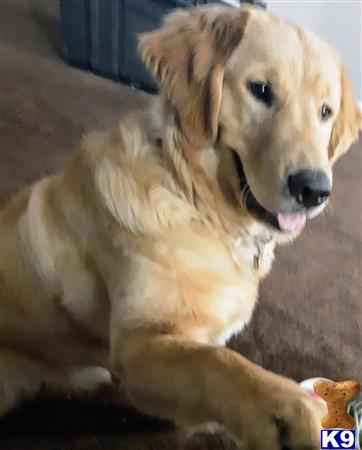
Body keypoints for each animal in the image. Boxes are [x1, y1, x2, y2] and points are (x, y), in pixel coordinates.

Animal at [0, 4, 360, 450]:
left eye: (325, 112)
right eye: (260, 90)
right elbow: (214, 361)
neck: (196, 201)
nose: (314, 190)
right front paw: (281, 408)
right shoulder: (139, 344)